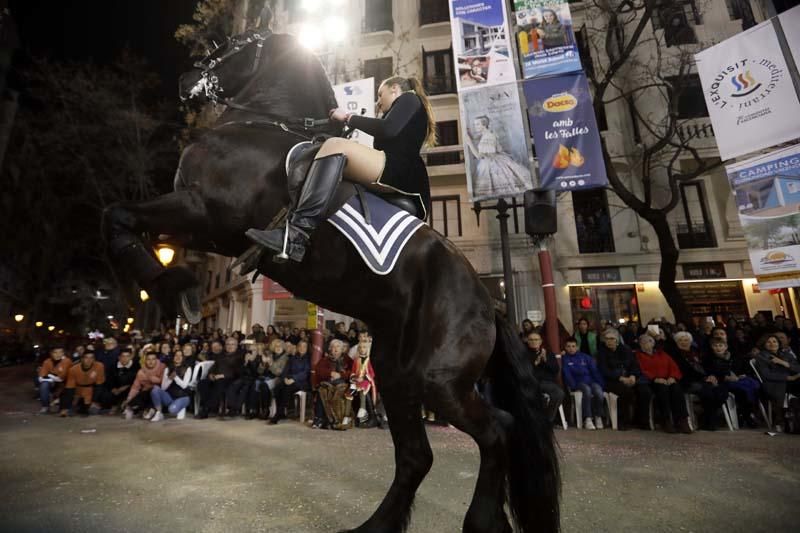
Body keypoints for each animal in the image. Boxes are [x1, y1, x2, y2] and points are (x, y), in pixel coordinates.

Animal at [103, 30, 560, 532]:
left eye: (238, 44)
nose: (188, 80)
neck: (263, 127)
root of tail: (490, 304)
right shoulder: (205, 225)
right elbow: (123, 221)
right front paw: (176, 286)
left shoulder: (205, 212)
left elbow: (117, 216)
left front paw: (175, 287)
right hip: (398, 374)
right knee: (416, 457)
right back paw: (375, 527)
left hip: (440, 380)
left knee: (498, 430)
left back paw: (481, 521)